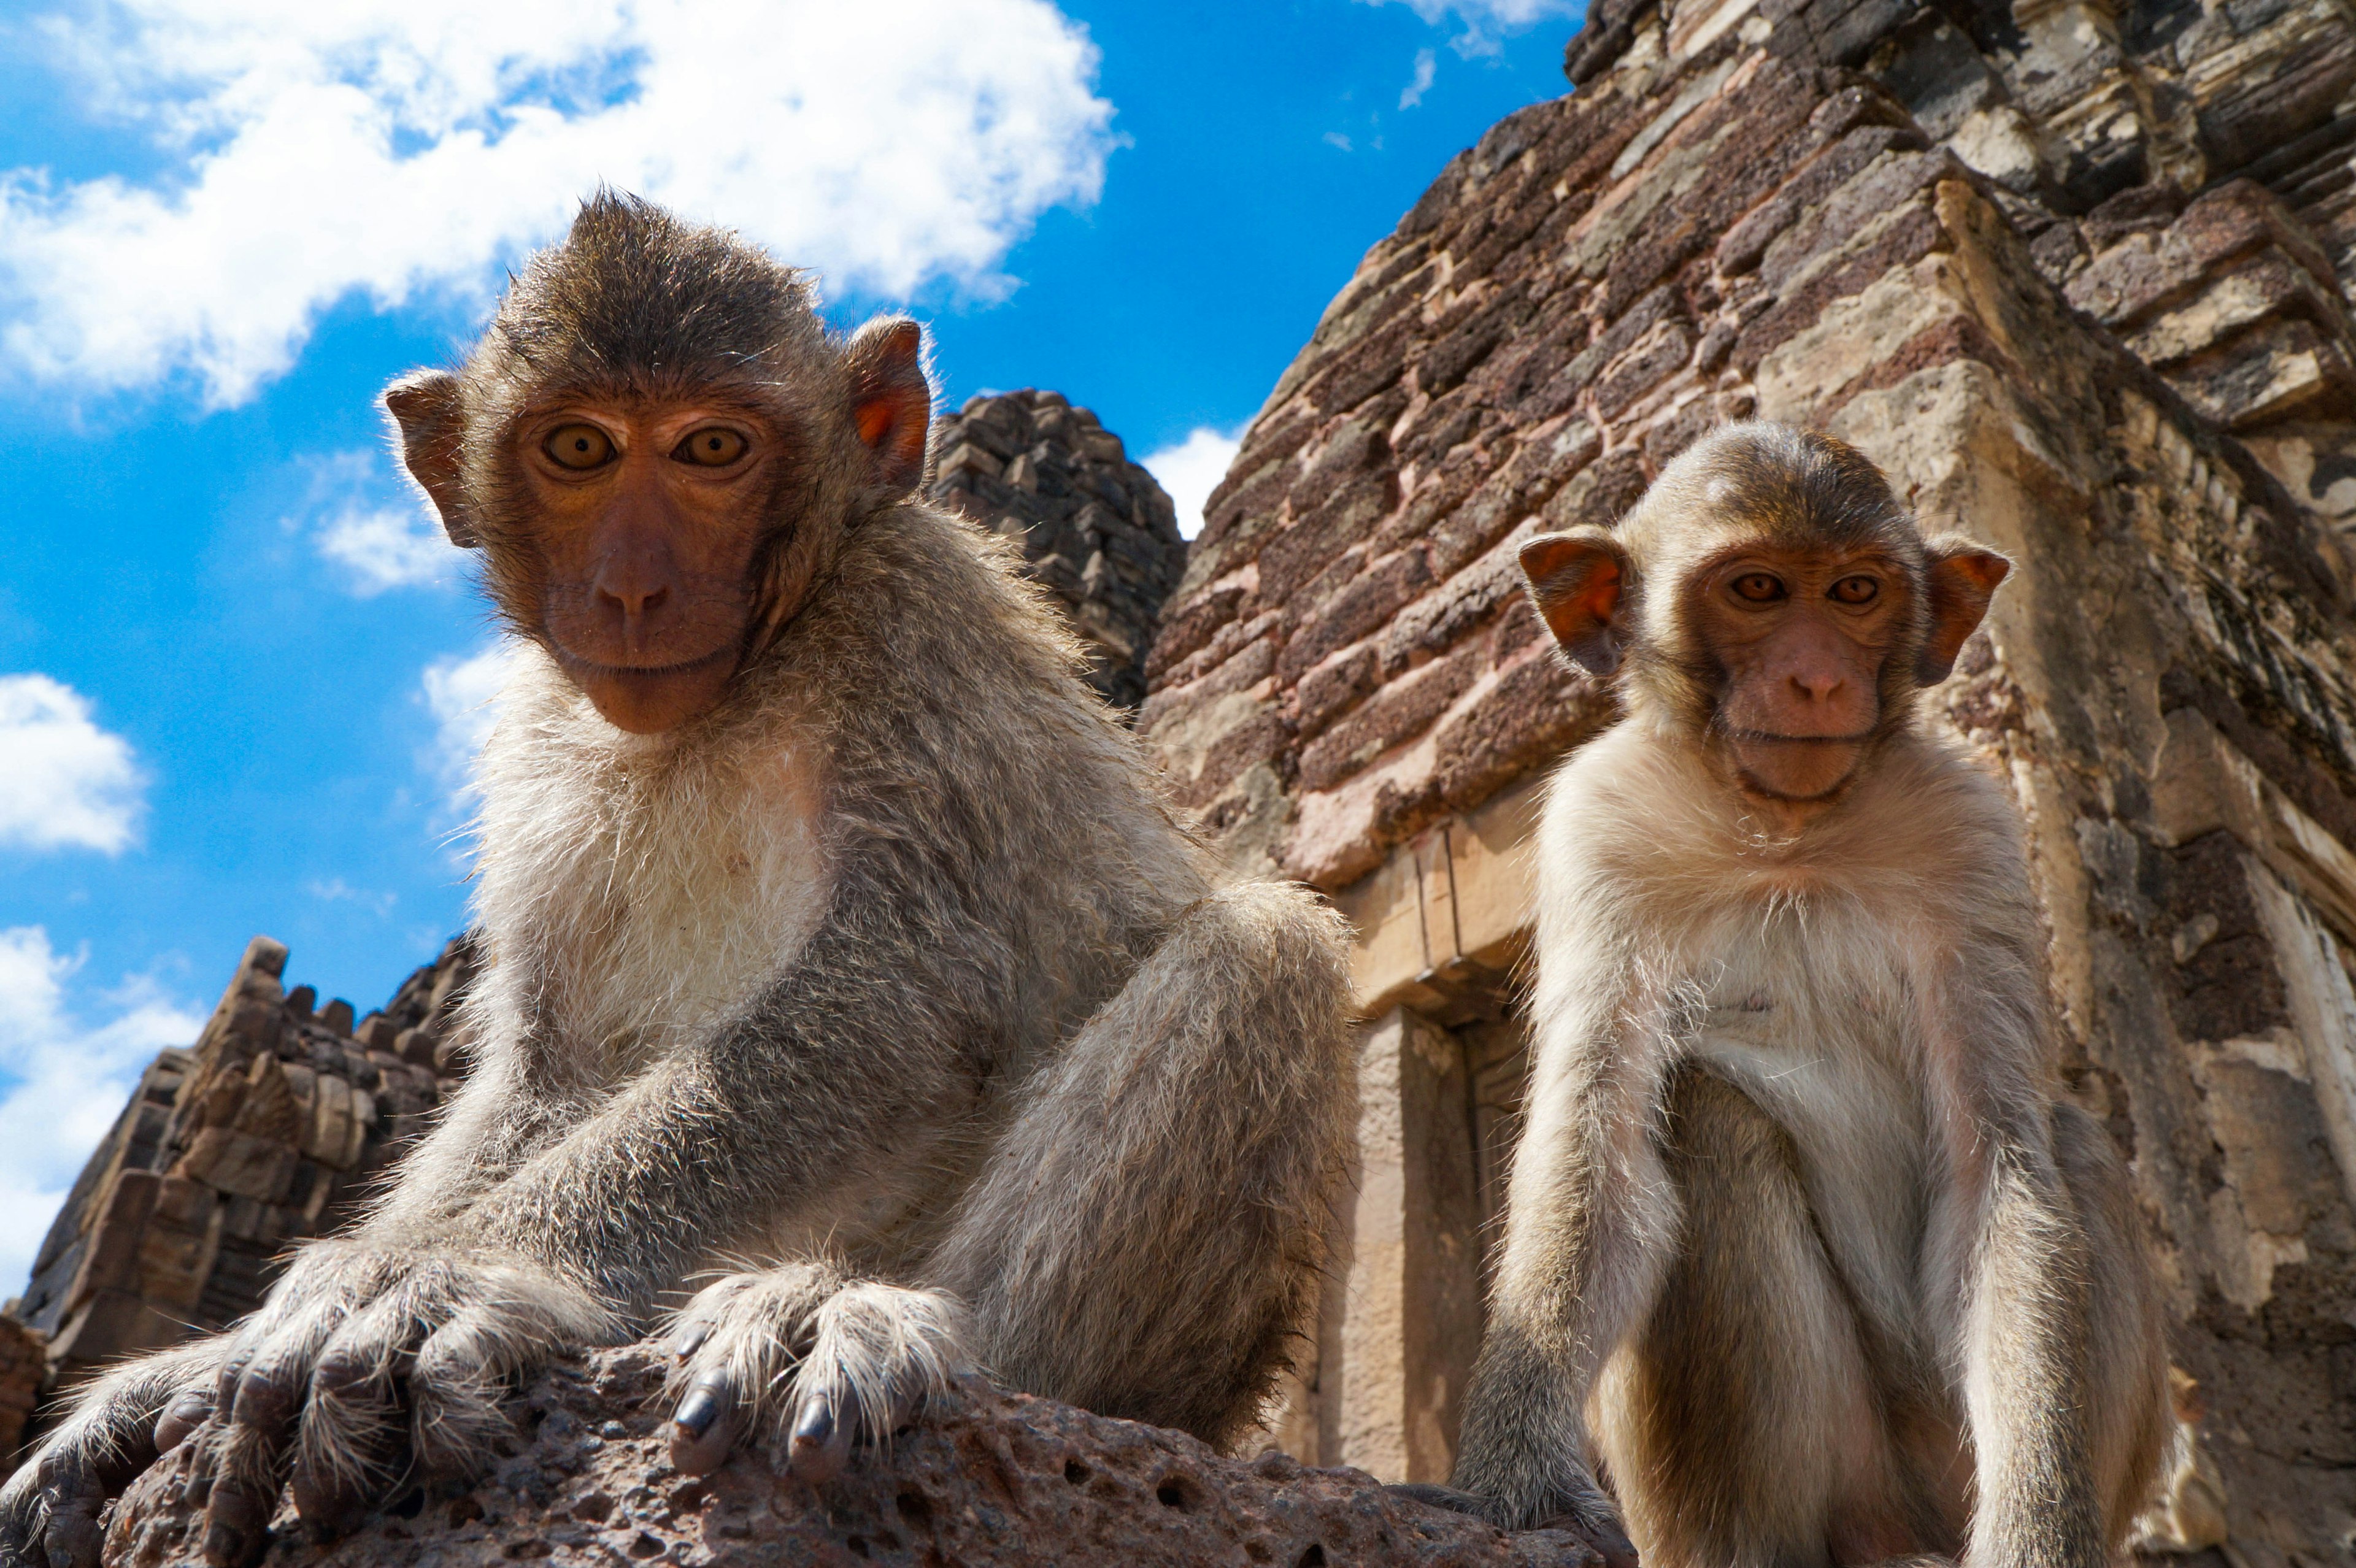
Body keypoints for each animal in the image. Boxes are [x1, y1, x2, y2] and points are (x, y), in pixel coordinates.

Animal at [0, 193, 1357, 1568]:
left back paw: (886, 1331)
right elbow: (551, 1065)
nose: (636, 588)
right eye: (580, 449)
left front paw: (461, 1279)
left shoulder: (912, 625)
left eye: (713, 448)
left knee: (1263, 956)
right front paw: (218, 1353)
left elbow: (901, 995)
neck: (739, 681)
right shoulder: (542, 744)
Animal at [1399, 423, 2168, 1568]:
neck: (1789, 833)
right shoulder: (1598, 827)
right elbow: (1596, 1148)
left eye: (1854, 592)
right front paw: (1512, 1481)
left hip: (1947, 1454)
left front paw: (2040, 1533)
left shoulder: (1973, 830)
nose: (1814, 679)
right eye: (1756, 589)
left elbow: (1997, 1168)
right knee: (1704, 1112)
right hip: (1849, 1479)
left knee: (2070, 1142)